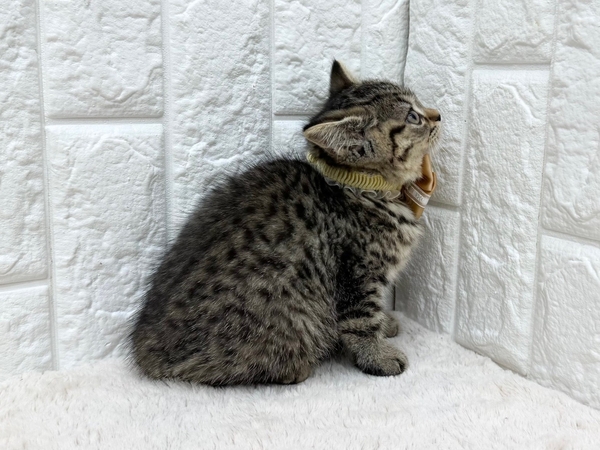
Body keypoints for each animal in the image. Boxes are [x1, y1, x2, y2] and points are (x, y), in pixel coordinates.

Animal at [131, 60, 441, 386]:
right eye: (413, 117)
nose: (438, 115)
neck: (364, 188)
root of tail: (146, 351)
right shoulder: (356, 271)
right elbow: (360, 319)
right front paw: (377, 355)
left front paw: (386, 325)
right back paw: (297, 368)